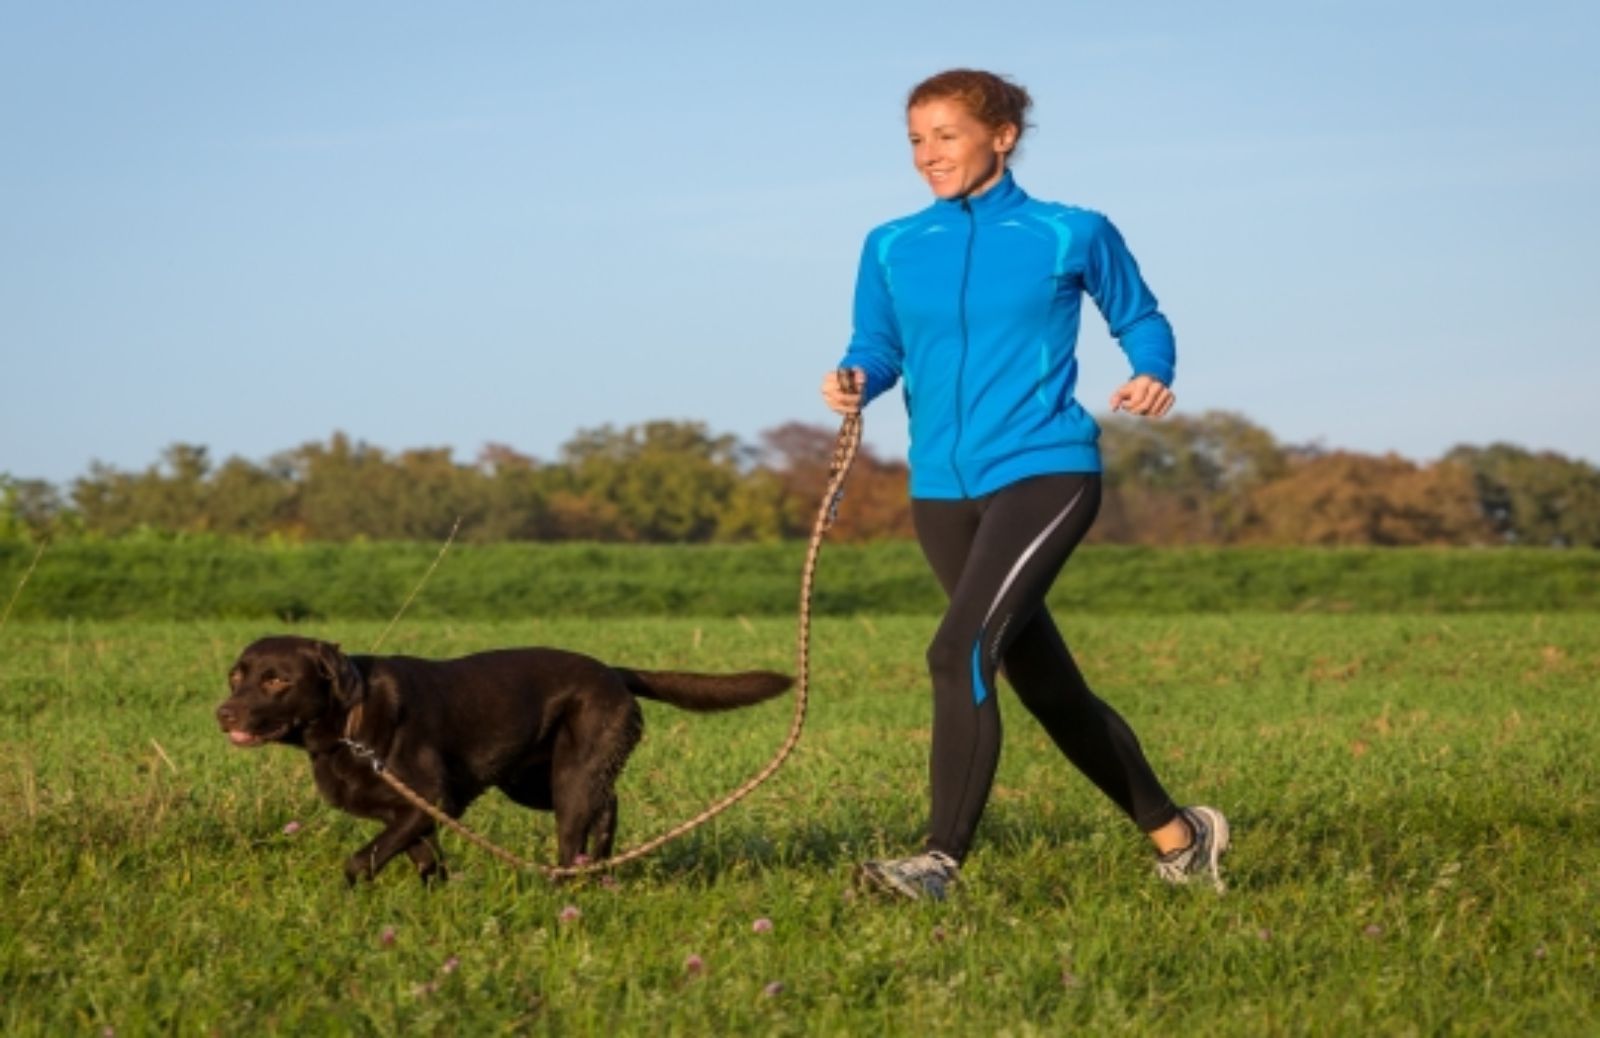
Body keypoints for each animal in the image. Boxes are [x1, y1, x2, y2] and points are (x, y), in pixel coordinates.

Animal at [216, 630, 790, 882]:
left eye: (277, 680)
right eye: (236, 676)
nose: (223, 713)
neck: (349, 722)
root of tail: (615, 672)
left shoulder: (432, 800)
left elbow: (364, 858)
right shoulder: (410, 813)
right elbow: (421, 857)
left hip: (569, 781)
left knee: (576, 836)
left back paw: (567, 893)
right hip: (533, 782)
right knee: (609, 805)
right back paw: (601, 867)